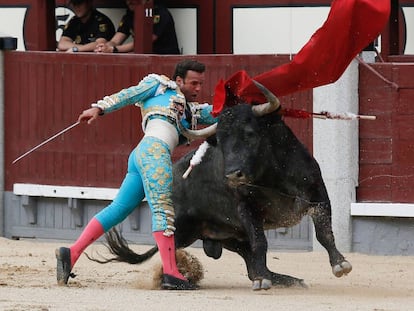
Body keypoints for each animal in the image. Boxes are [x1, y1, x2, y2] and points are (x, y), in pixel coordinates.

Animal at [104, 103, 352, 292]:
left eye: (250, 134)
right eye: (221, 141)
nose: (232, 174)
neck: (272, 176)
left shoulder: (318, 195)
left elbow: (324, 234)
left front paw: (340, 264)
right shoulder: (246, 208)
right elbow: (261, 242)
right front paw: (263, 280)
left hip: (230, 235)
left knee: (250, 260)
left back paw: (286, 280)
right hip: (184, 228)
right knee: (170, 247)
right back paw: (176, 281)